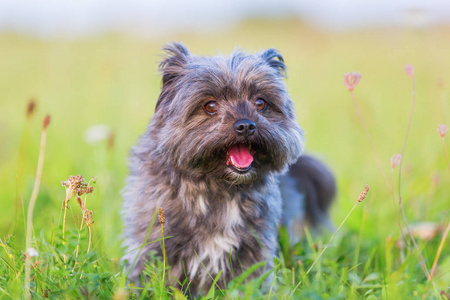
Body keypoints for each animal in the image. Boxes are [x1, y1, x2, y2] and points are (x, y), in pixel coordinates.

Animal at [121, 42, 336, 296]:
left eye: (260, 103)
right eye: (210, 105)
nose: (245, 125)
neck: (219, 187)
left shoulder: (255, 247)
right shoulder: (157, 242)